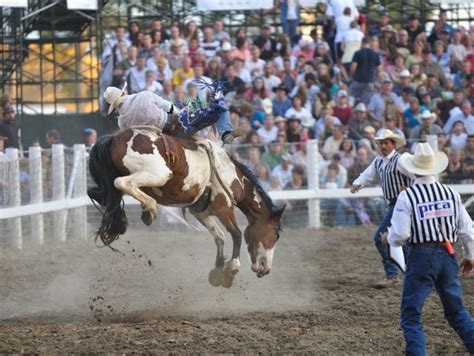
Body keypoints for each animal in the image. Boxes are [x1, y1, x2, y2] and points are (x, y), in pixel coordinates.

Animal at [87, 127, 284, 286]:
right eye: (276, 235)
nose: (266, 269)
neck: (233, 175)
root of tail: (114, 138)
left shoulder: (201, 212)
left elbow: (219, 236)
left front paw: (218, 269)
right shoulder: (225, 207)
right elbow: (236, 234)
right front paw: (231, 269)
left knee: (96, 193)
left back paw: (121, 221)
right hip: (158, 173)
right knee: (121, 182)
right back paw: (149, 209)